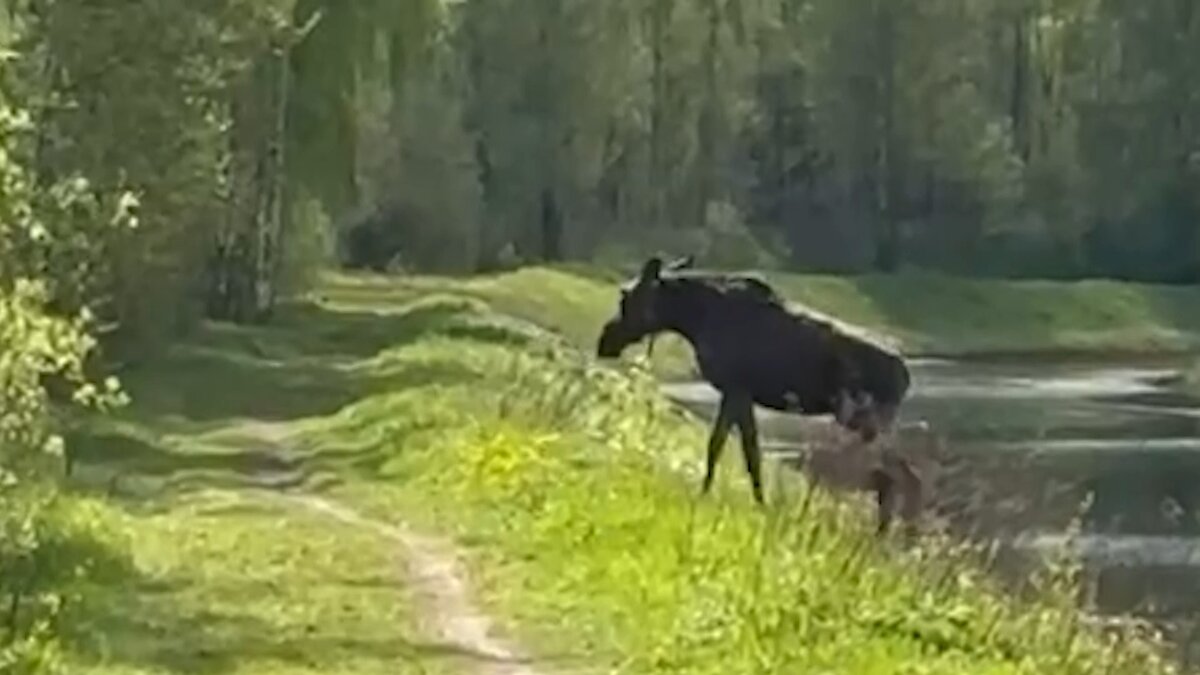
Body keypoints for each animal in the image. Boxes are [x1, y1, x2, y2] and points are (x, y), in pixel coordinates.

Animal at [595, 254, 921, 533]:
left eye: (624, 296)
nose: (604, 340)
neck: (693, 320)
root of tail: (906, 374)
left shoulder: (736, 389)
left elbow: (734, 450)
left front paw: (730, 499)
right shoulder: (738, 394)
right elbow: (735, 450)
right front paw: (738, 499)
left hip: (864, 419)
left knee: (902, 476)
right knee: (892, 477)